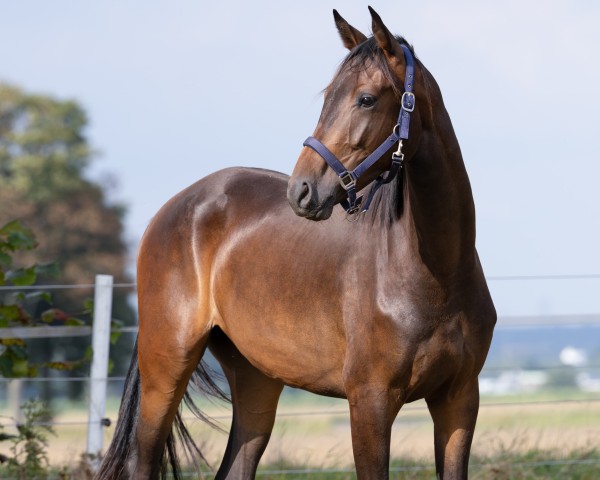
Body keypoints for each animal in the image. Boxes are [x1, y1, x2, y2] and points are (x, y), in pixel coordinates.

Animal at [96, 7, 494, 480]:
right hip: (167, 365)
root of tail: (173, 209)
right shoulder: (370, 403)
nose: (301, 190)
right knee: (143, 456)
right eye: (327, 98)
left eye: (366, 99)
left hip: (256, 381)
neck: (436, 274)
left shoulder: (458, 402)